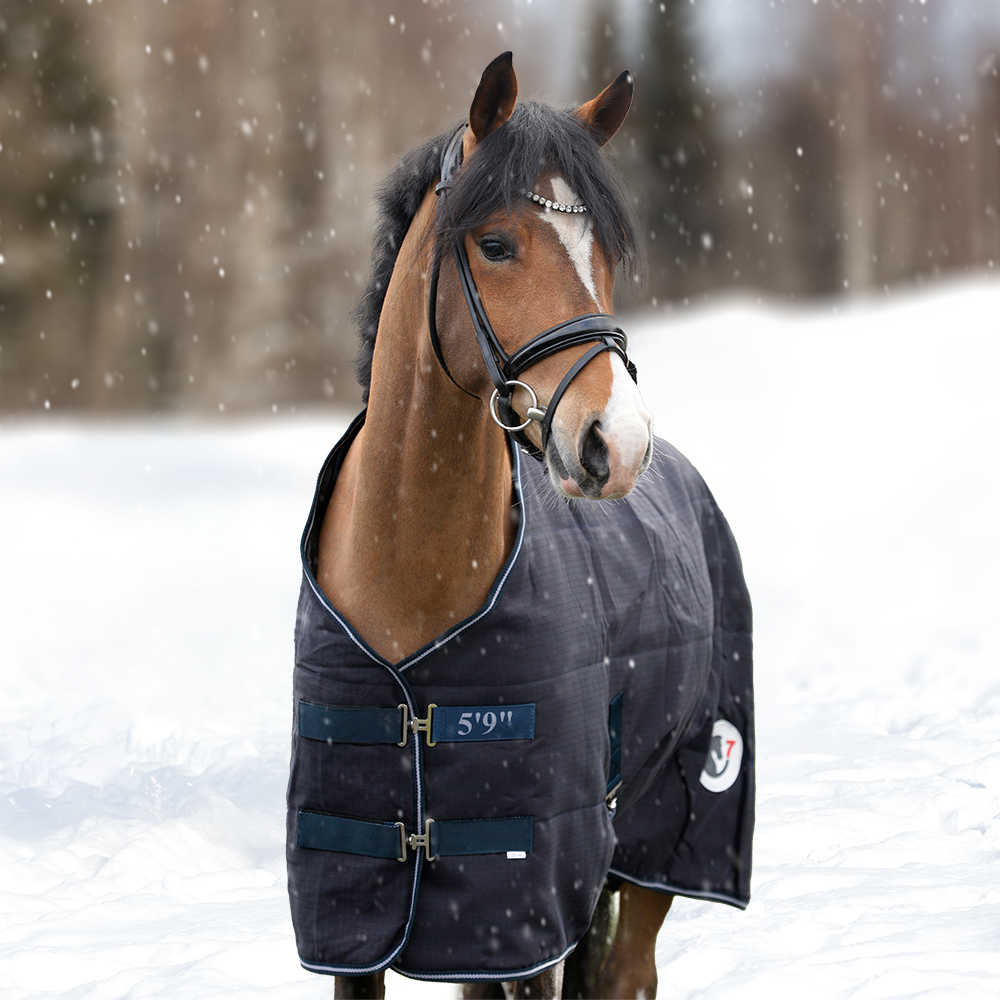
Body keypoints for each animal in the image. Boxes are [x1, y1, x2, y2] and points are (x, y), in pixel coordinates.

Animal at [286, 52, 754, 999]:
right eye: (496, 245)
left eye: (606, 251)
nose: (619, 442)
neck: (409, 577)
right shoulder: (364, 923)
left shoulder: (528, 906)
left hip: (654, 846)